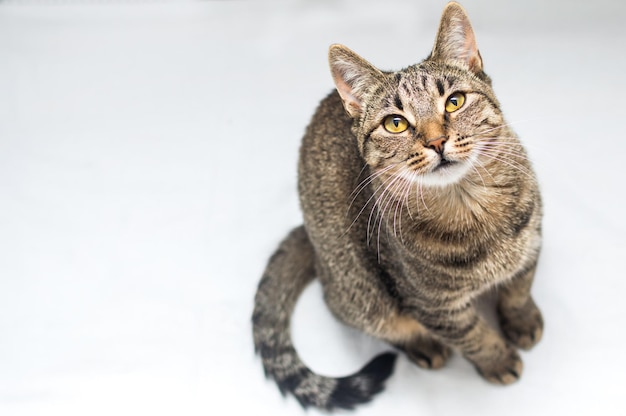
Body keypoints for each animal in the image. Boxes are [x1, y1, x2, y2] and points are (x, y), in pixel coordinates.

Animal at [251, 1, 540, 412]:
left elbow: (519, 288)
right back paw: (424, 347)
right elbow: (473, 335)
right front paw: (498, 359)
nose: (436, 141)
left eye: (454, 101)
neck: (468, 202)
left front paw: (523, 321)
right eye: (396, 123)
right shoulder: (435, 307)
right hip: (363, 296)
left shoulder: (532, 242)